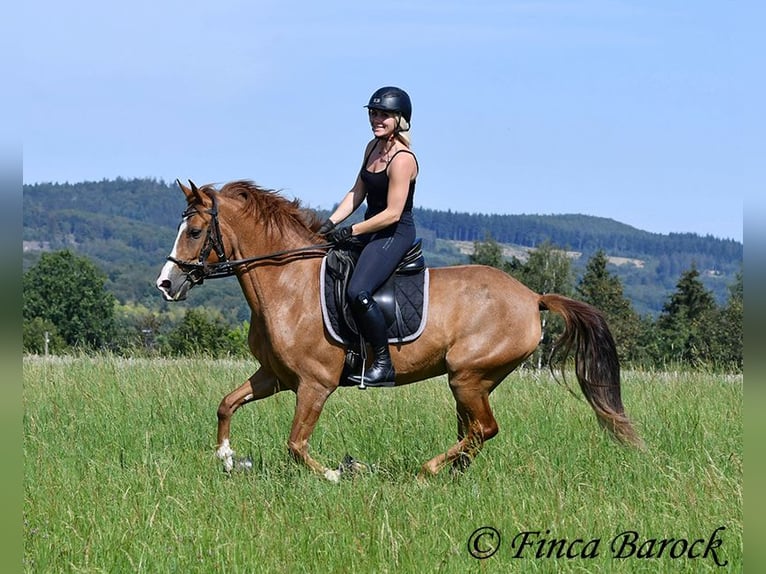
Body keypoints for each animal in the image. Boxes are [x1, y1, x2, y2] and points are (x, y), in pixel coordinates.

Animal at [158, 180, 648, 482]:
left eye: (195, 231)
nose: (166, 283)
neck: (287, 283)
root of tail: (532, 297)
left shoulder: (315, 384)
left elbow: (296, 445)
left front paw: (340, 471)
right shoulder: (275, 377)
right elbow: (226, 404)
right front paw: (227, 458)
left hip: (467, 375)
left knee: (483, 429)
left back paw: (426, 473)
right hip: (473, 381)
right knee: (473, 432)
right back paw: (448, 474)